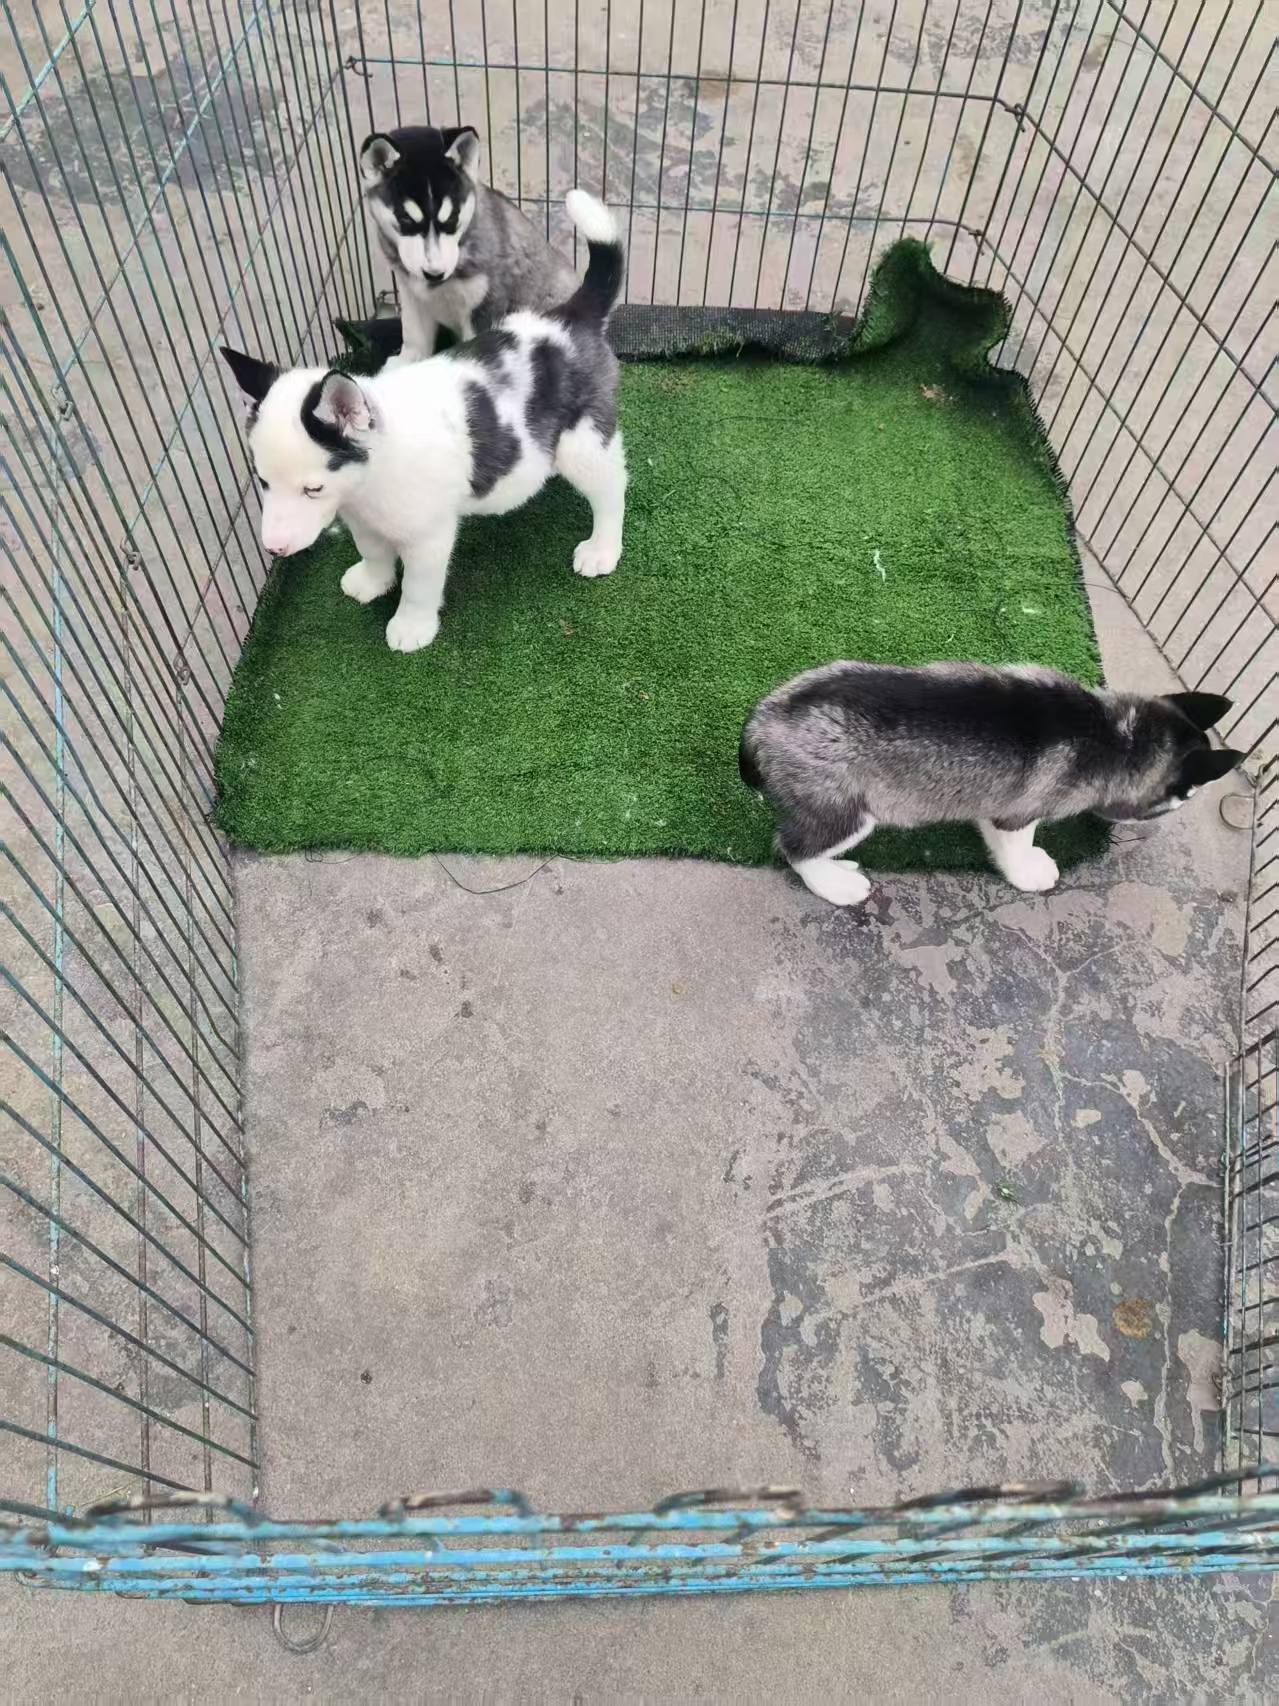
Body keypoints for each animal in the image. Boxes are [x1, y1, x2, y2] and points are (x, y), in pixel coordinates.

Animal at [221, 191, 626, 654]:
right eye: (263, 482)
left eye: (313, 489)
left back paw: (602, 548)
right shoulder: (363, 521)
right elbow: (373, 553)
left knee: (612, 487)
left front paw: (411, 627)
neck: (372, 475)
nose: (274, 549)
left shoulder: (428, 538)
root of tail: (570, 317)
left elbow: (417, 586)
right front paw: (371, 582)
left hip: (584, 442)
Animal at [359, 125, 579, 363]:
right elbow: (413, 336)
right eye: (405, 220)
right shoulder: (412, 294)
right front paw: (403, 363)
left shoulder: (485, 305)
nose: (434, 274)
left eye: (453, 218)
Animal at [739, 660, 1244, 905]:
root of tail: (765, 717)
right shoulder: (1018, 813)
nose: (1160, 822)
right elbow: (1019, 845)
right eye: (1180, 801)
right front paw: (1030, 872)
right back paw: (835, 884)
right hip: (844, 812)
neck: (1115, 733)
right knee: (794, 849)